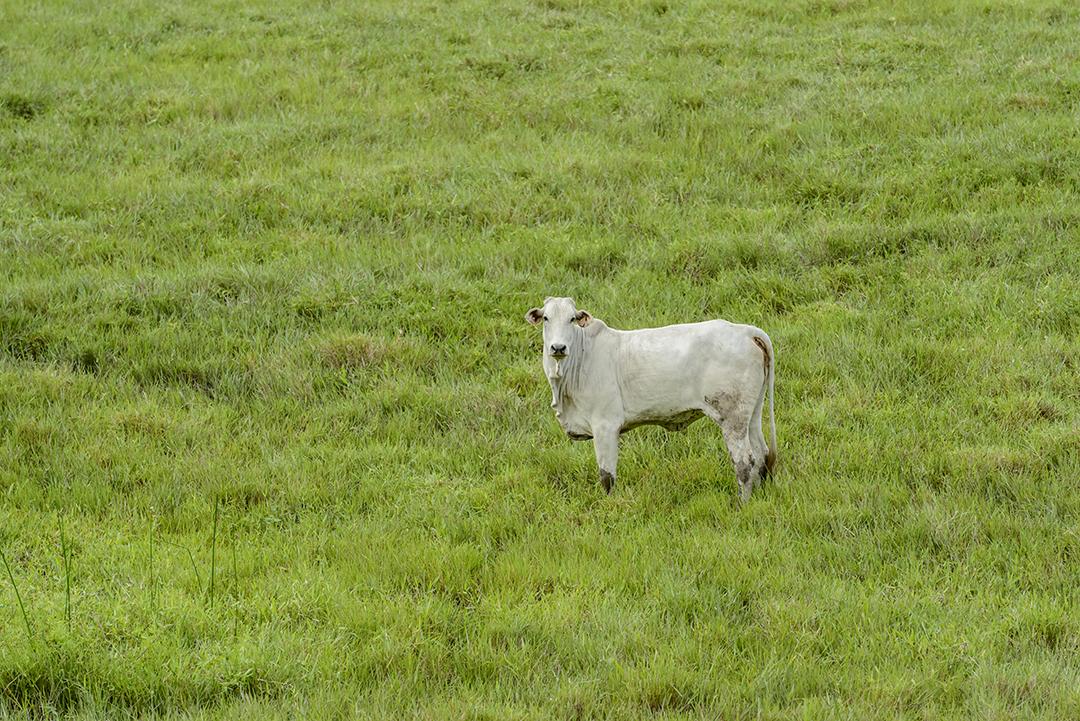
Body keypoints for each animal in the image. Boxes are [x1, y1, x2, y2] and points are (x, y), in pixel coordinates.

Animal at [524, 297, 773, 500]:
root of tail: (745, 331)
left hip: (732, 418)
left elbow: (607, 476)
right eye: (546, 318)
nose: (558, 347)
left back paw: (741, 503)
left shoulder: (605, 425)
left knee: (745, 462)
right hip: (751, 414)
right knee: (762, 455)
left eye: (572, 319)